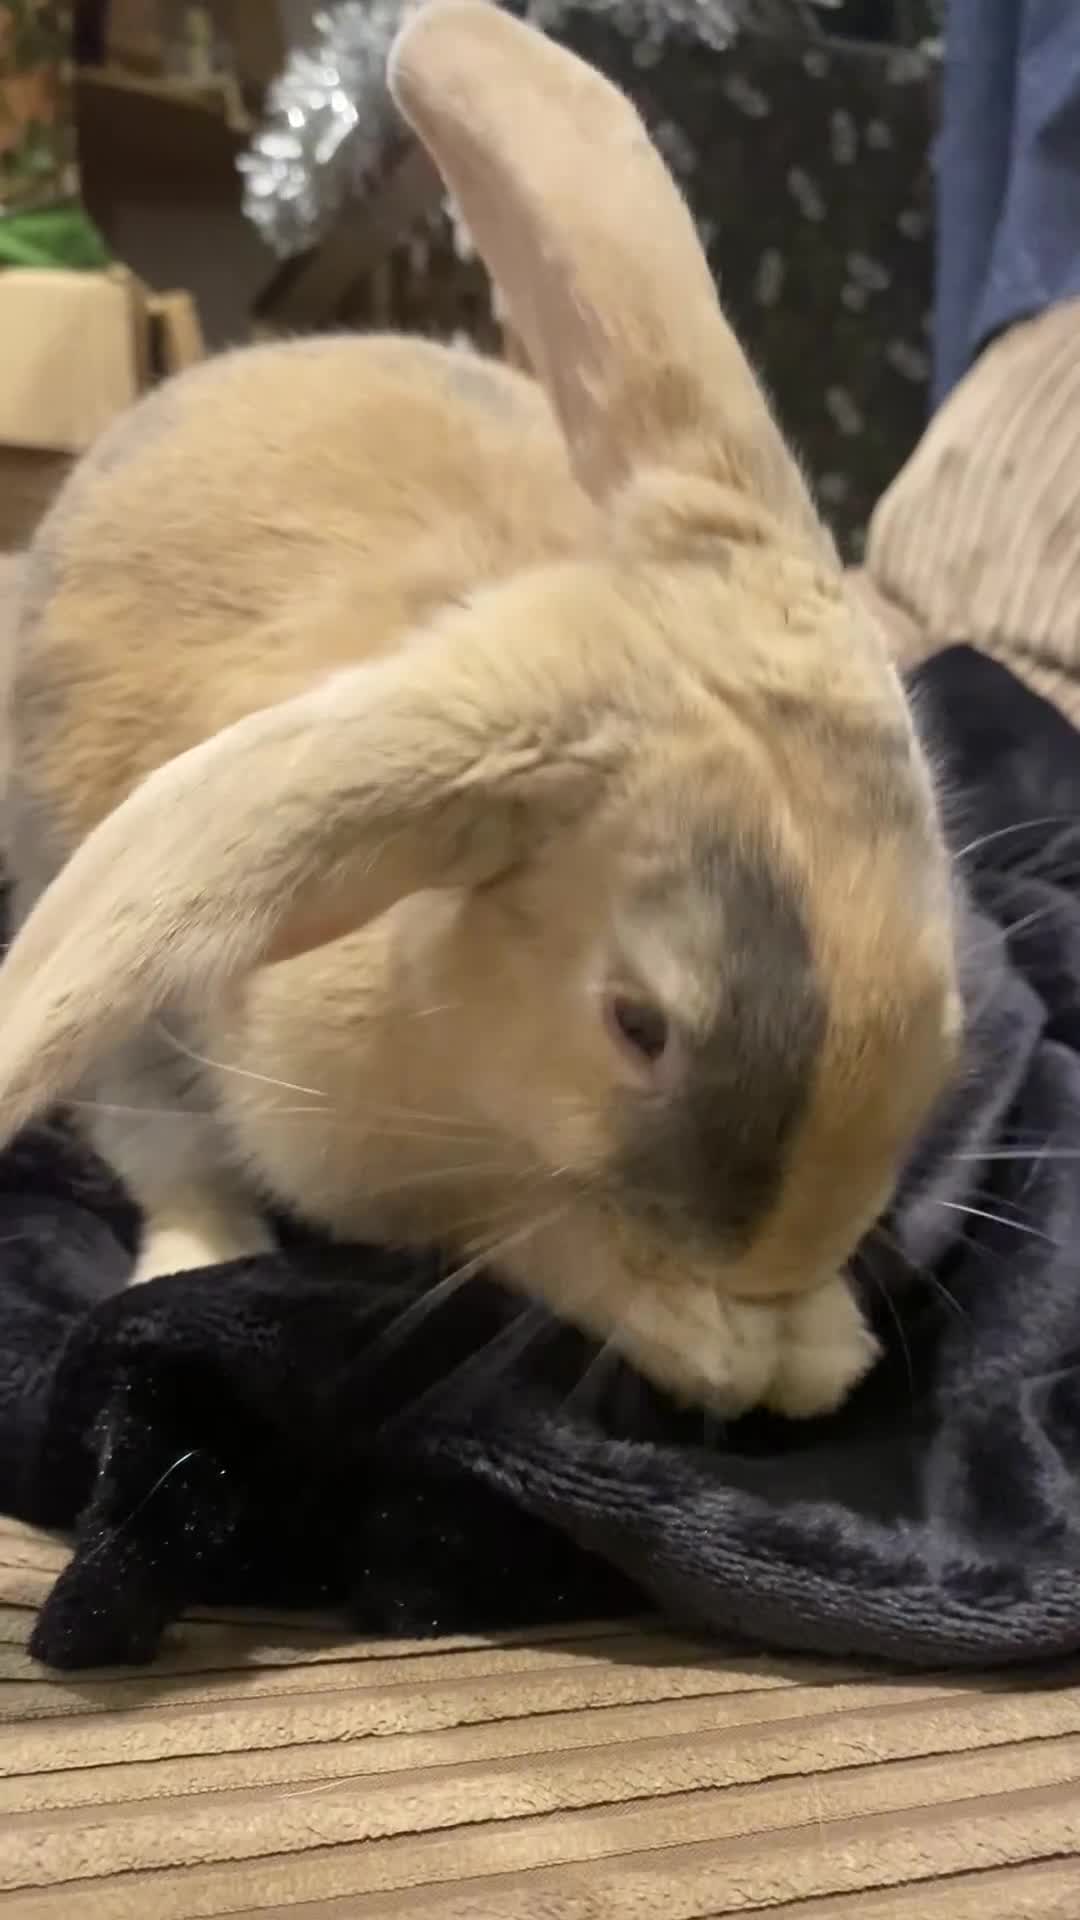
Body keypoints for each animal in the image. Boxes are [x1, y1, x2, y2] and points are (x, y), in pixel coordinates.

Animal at [0, 0, 961, 1418]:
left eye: (944, 989)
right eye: (637, 1025)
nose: (783, 1258)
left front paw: (811, 1332)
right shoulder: (383, 1168)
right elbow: (524, 1232)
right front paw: (737, 1342)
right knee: (161, 1148)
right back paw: (199, 1256)